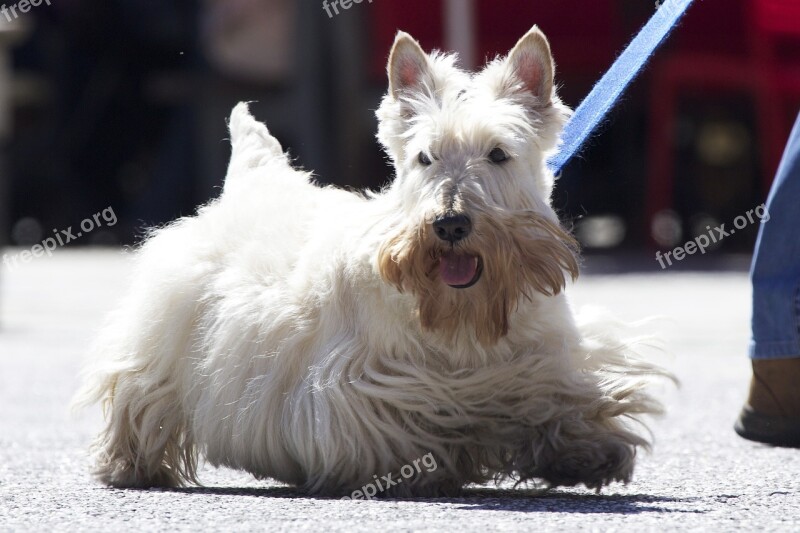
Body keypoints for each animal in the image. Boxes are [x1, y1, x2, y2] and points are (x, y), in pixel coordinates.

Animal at [81, 27, 668, 496]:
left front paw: (587, 450)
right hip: (163, 335)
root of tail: (250, 179)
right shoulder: (359, 389)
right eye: (425, 157)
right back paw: (129, 465)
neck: (464, 317)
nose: (450, 224)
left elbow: (559, 394)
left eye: (499, 153)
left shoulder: (547, 354)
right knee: (138, 393)